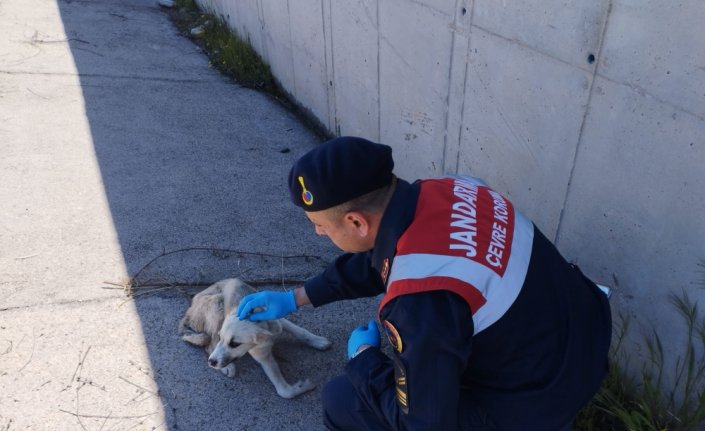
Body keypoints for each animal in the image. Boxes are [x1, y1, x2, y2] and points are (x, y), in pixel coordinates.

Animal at [176, 280, 330, 398]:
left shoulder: (277, 318)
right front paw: (304, 386)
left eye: (235, 344)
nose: (211, 362)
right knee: (209, 344)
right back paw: (227, 367)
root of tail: (190, 310)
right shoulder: (262, 356)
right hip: (217, 305)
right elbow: (285, 391)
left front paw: (318, 341)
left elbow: (301, 331)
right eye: (222, 338)